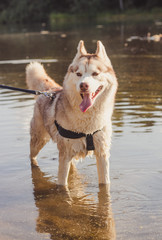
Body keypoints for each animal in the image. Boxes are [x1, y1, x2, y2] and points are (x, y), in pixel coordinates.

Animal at [26, 40, 117, 188]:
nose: (83, 85)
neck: (87, 126)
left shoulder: (102, 154)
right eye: (79, 74)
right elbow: (62, 185)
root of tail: (49, 90)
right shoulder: (64, 156)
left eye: (95, 73)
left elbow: (105, 184)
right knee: (32, 157)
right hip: (39, 140)